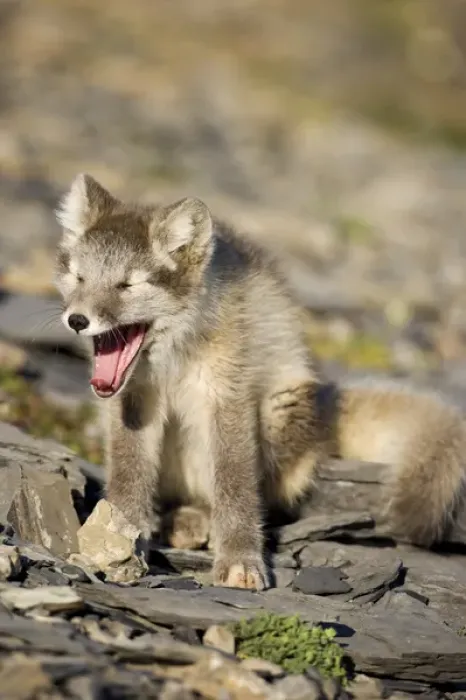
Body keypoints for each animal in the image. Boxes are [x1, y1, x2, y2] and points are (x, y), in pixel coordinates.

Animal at [54, 173, 466, 590]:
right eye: (78, 276)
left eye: (127, 285)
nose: (77, 319)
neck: (174, 360)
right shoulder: (134, 401)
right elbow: (129, 473)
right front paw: (119, 539)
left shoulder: (228, 395)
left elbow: (236, 484)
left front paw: (240, 559)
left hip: (277, 412)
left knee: (257, 493)